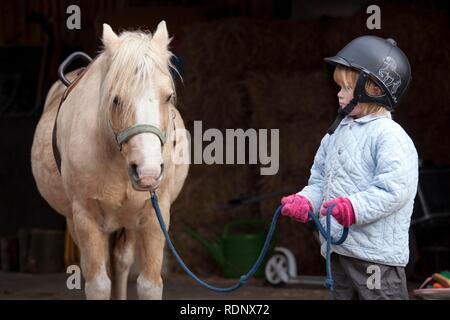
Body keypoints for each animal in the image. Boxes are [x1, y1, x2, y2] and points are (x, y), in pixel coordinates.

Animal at [31, 23, 190, 300]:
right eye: (115, 99)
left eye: (168, 97)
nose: (148, 173)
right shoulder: (85, 217)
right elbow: (98, 284)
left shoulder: (155, 215)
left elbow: (149, 285)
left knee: (121, 261)